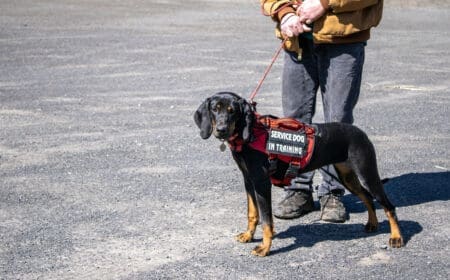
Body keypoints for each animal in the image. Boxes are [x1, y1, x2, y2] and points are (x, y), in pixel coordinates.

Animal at [193, 91, 404, 256]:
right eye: (215, 109)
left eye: (233, 111)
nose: (221, 130)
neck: (250, 134)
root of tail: (361, 133)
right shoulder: (248, 180)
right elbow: (252, 213)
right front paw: (248, 235)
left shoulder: (261, 182)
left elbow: (266, 220)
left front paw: (265, 248)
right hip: (347, 177)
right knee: (367, 197)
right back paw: (372, 224)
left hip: (367, 173)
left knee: (389, 206)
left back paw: (396, 237)